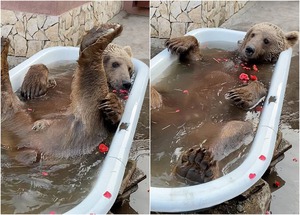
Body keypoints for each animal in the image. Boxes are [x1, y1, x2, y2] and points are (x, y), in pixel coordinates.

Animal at [154, 22, 298, 184]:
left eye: (266, 40)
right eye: (253, 34)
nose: (249, 49)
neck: (245, 61)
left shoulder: (265, 72)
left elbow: (262, 86)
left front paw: (241, 94)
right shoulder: (219, 59)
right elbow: (197, 60)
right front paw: (179, 42)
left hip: (216, 125)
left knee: (233, 130)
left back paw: (197, 165)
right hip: (171, 101)